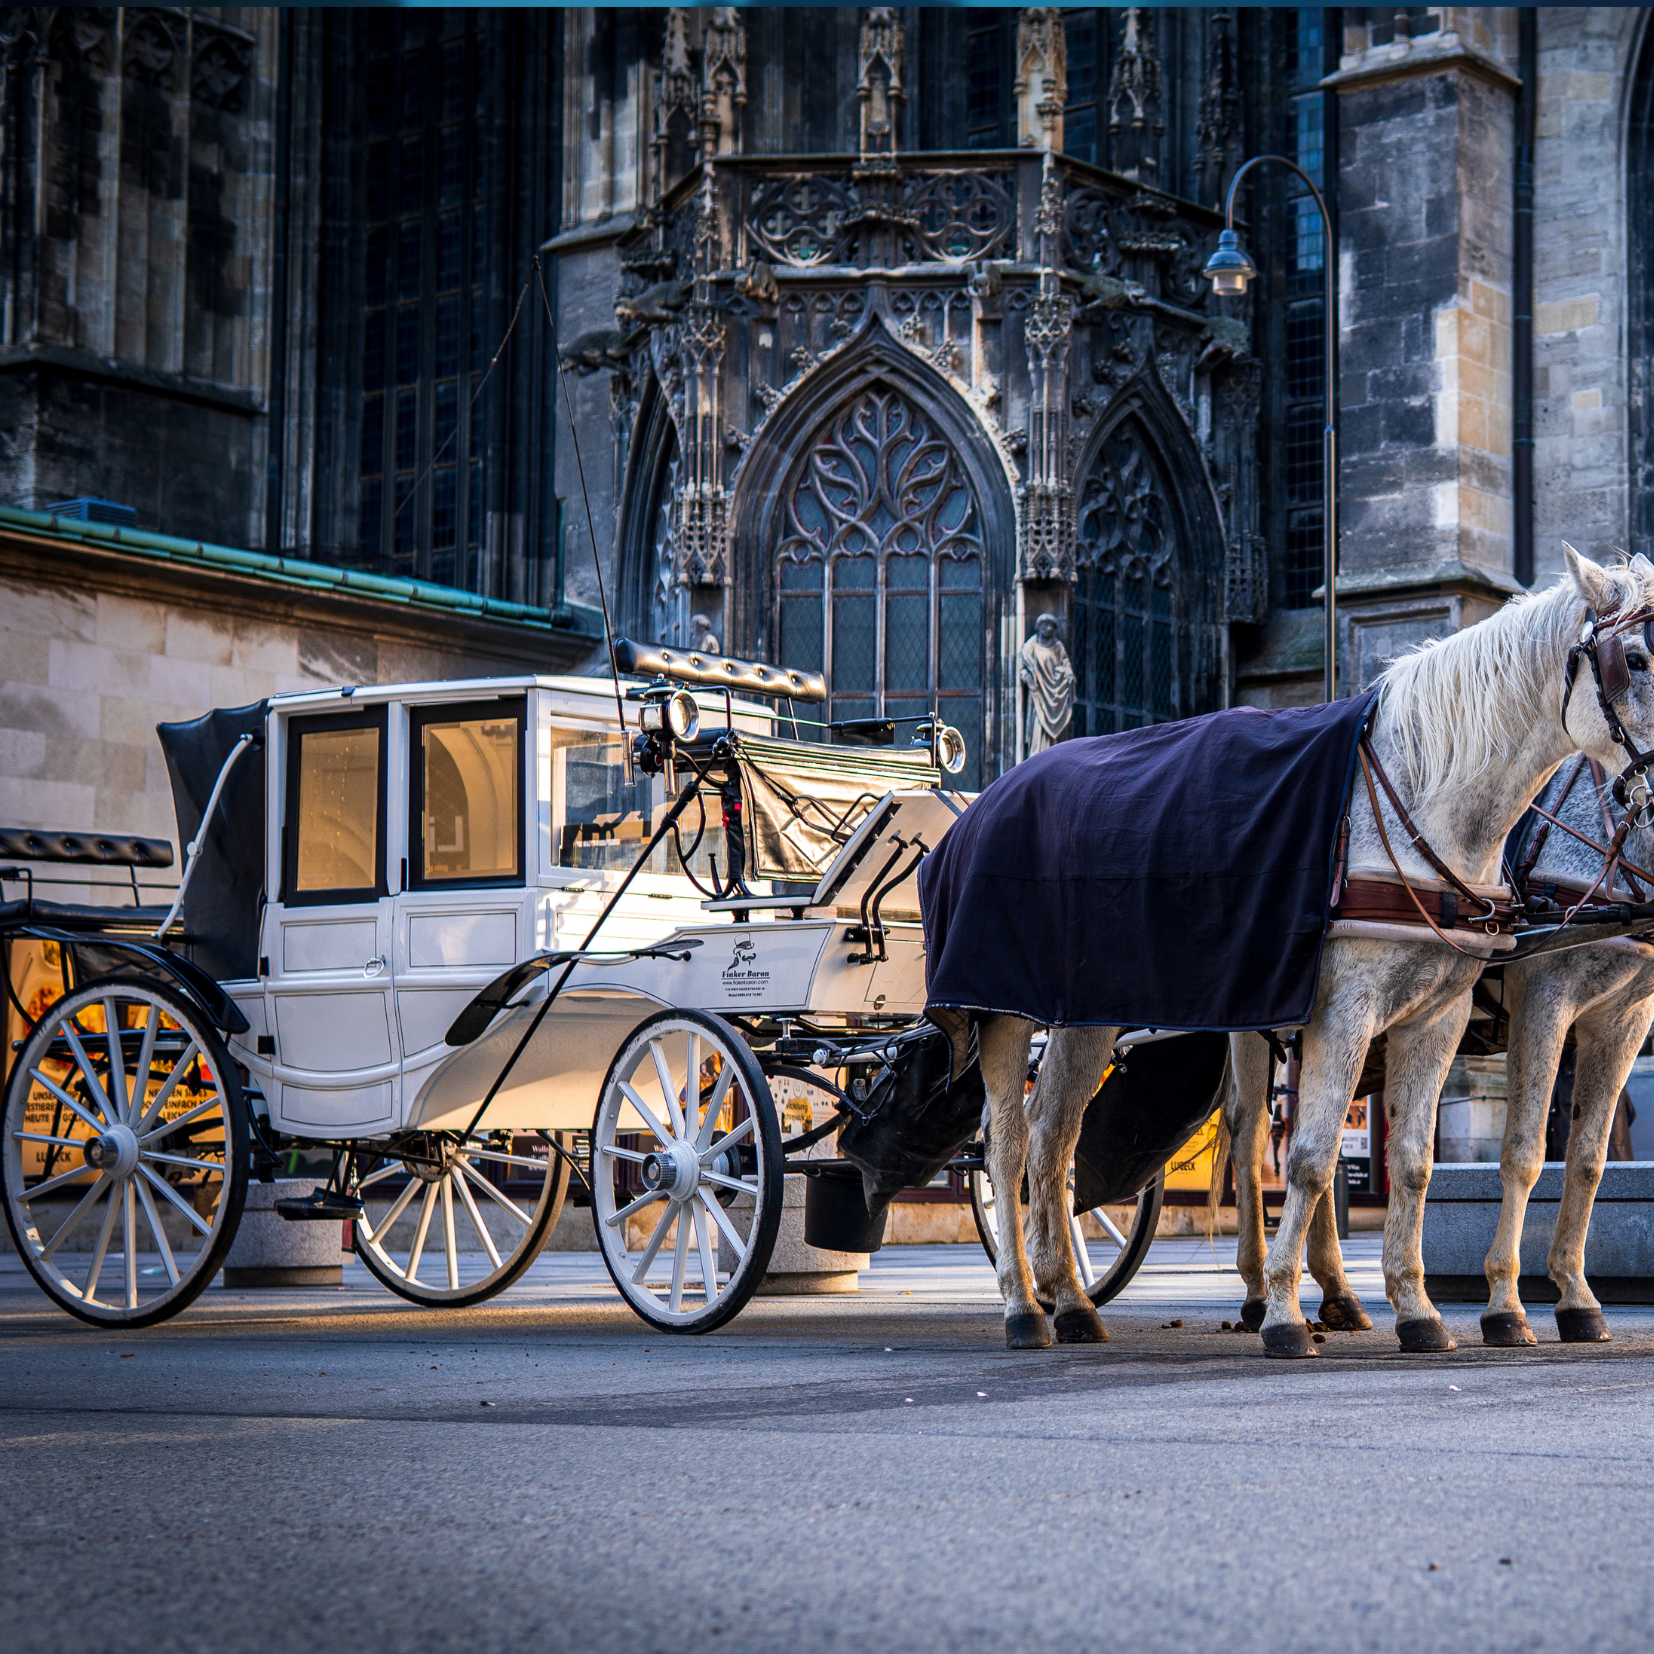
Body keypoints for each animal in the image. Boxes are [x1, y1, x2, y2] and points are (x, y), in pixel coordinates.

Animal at [973, 547, 1654, 1354]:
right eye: (1636, 657)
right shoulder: (1527, 998)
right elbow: (1499, 1155)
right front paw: (1491, 1304)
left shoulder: (1563, 1015)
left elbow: (1522, 1160)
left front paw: (1480, 1303)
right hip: (1017, 1008)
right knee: (1018, 1145)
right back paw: (1031, 1301)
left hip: (1125, 1011)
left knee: (1064, 1134)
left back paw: (1082, 1296)